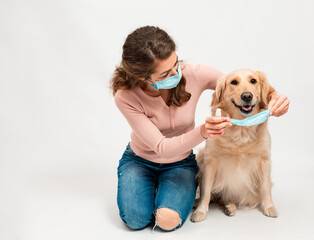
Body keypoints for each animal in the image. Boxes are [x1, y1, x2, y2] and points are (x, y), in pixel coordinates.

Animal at [191, 68, 278, 222]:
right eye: (234, 82)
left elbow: (265, 187)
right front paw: (200, 211)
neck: (241, 129)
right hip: (200, 155)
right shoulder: (210, 161)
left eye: (253, 81)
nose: (247, 96)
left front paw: (269, 207)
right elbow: (206, 192)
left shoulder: (264, 160)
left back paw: (229, 207)